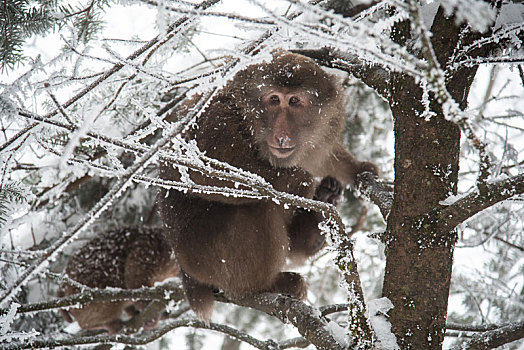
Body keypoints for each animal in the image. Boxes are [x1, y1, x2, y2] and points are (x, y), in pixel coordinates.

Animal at [158, 50, 378, 322]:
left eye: (294, 101)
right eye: (274, 99)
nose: (281, 135)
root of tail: (186, 273)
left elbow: (321, 155)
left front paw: (357, 169)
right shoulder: (216, 119)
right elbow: (202, 173)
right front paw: (302, 180)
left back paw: (317, 221)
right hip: (206, 257)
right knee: (258, 208)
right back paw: (264, 285)